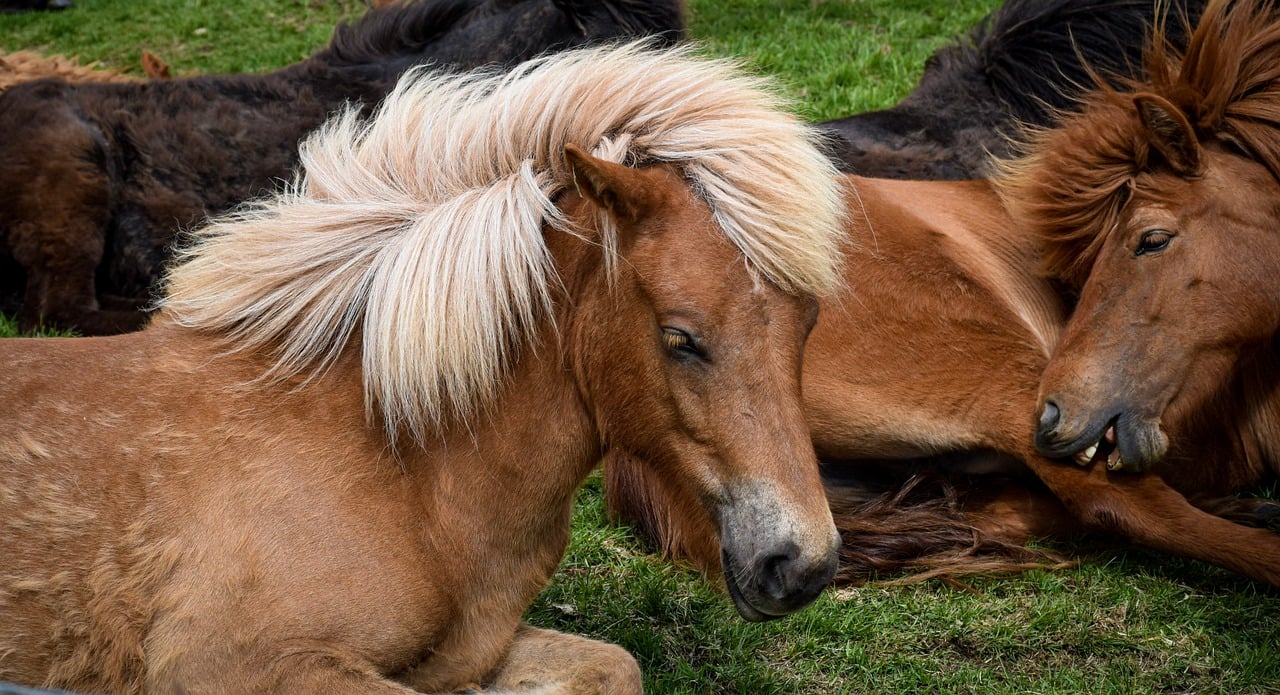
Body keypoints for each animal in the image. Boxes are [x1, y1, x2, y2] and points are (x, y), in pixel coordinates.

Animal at [0, 42, 845, 692]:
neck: (403, 466)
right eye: (680, 336)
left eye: (810, 322)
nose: (801, 563)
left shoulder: (473, 648)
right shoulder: (233, 663)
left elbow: (612, 665)